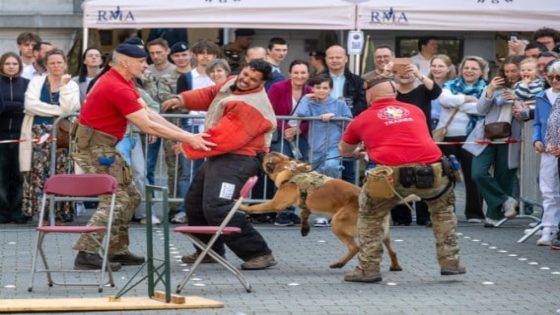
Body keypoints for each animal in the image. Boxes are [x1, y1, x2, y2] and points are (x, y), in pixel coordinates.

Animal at [238, 153, 400, 272]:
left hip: (337, 224)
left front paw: (241, 206)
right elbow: (303, 214)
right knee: (392, 250)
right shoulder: (306, 206)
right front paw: (304, 228)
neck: (289, 169)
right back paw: (395, 266)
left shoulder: (275, 204)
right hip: (383, 234)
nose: (260, 151)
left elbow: (256, 207)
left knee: (355, 248)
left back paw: (339, 264)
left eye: (266, 156)